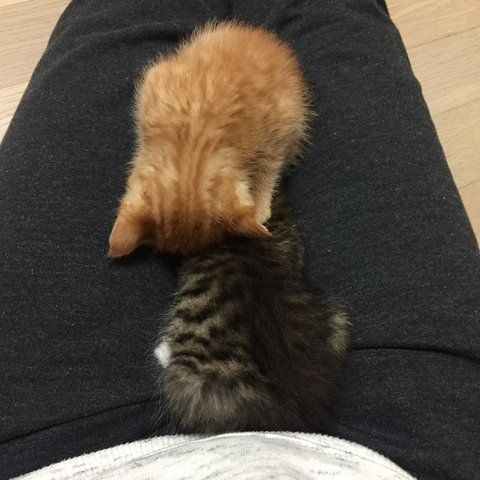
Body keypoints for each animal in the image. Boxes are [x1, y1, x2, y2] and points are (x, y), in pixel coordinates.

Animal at [108, 21, 310, 257]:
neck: (194, 138)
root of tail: (265, 38)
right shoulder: (155, 82)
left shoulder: (282, 122)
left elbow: (270, 167)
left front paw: (260, 204)